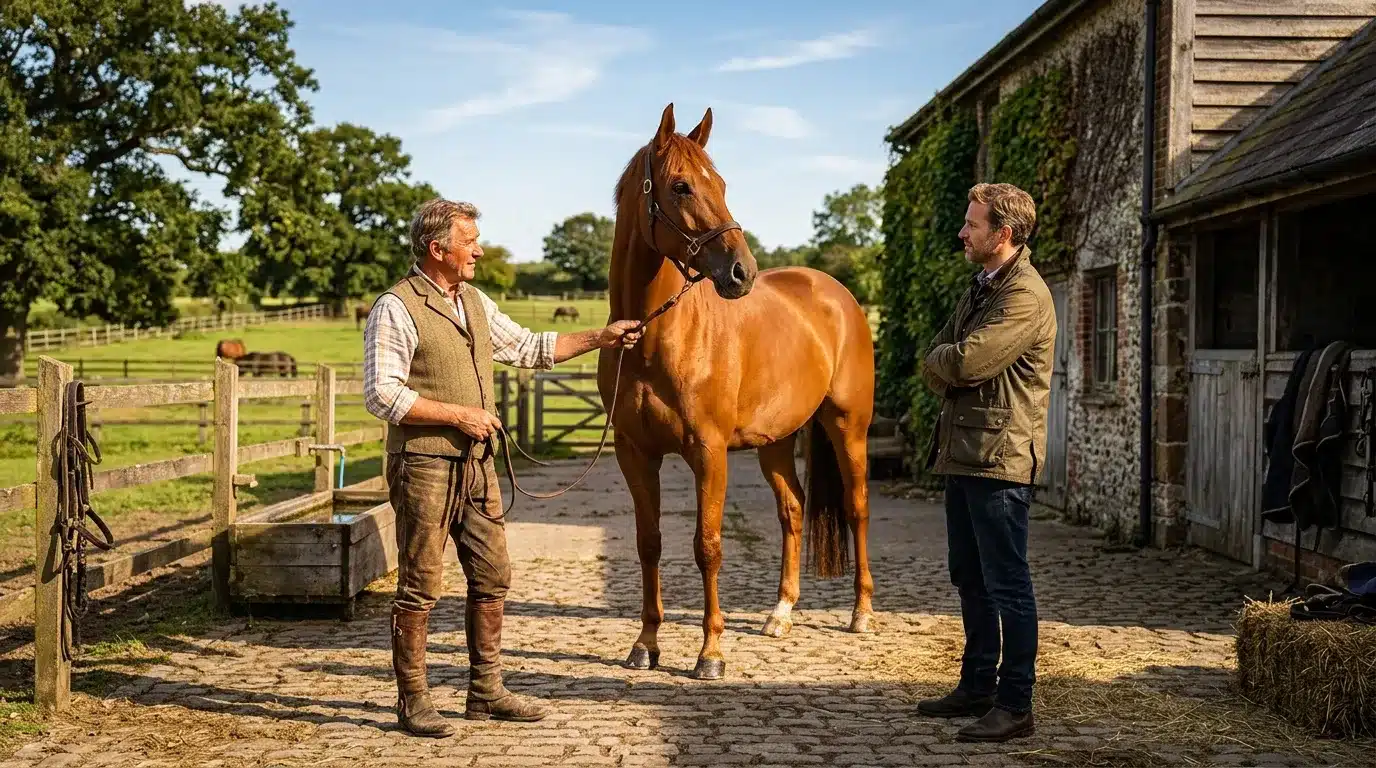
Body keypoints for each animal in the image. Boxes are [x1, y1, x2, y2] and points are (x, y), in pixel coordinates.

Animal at [597, 104, 875, 681]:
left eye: (721, 183)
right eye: (681, 186)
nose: (741, 272)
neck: (654, 338)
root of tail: (838, 295)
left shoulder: (709, 452)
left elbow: (708, 546)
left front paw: (711, 653)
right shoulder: (636, 455)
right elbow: (649, 544)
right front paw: (646, 644)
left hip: (847, 427)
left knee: (857, 506)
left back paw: (861, 613)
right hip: (776, 442)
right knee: (793, 510)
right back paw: (780, 614)